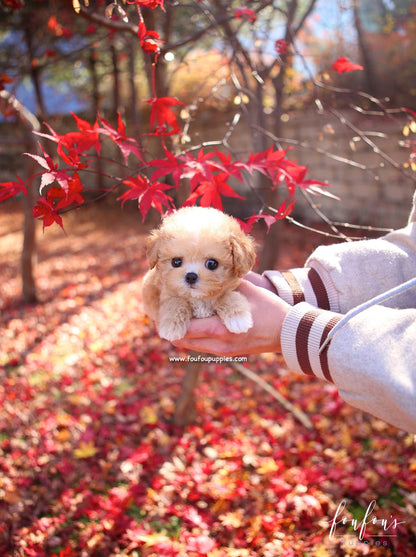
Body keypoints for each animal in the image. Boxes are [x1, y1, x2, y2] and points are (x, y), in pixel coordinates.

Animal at [141, 205, 255, 340]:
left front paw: (238, 318)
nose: (191, 277)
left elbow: (228, 296)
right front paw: (171, 326)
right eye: (176, 262)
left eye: (212, 263)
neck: (198, 298)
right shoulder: (167, 294)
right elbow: (175, 302)